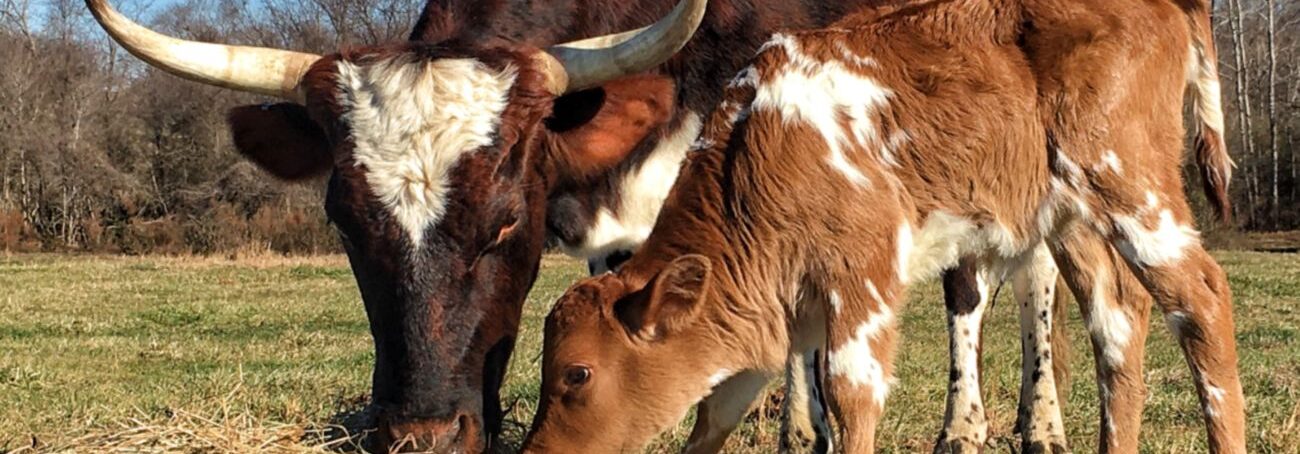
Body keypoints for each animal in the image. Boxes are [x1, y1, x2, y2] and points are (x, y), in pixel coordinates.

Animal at [523, 0, 1245, 452]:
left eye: (577, 375)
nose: (540, 452)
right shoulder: (775, 311)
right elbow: (718, 410)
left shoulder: (861, 272)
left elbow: (851, 394)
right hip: (1072, 216)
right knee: (1118, 320)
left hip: (1130, 182)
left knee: (1202, 301)